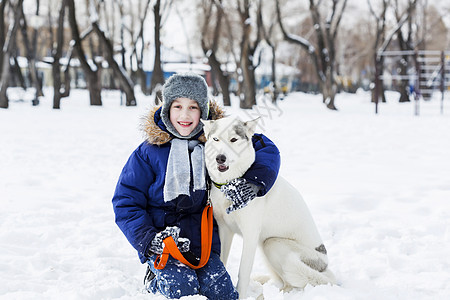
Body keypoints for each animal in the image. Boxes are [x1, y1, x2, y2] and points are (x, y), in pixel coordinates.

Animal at [202, 116, 336, 298]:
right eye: (216, 139)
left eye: (233, 139)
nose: (220, 158)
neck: (230, 185)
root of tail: (325, 265)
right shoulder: (224, 230)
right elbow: (222, 261)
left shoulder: (250, 234)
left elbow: (243, 273)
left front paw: (240, 295)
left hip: (271, 244)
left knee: (293, 284)